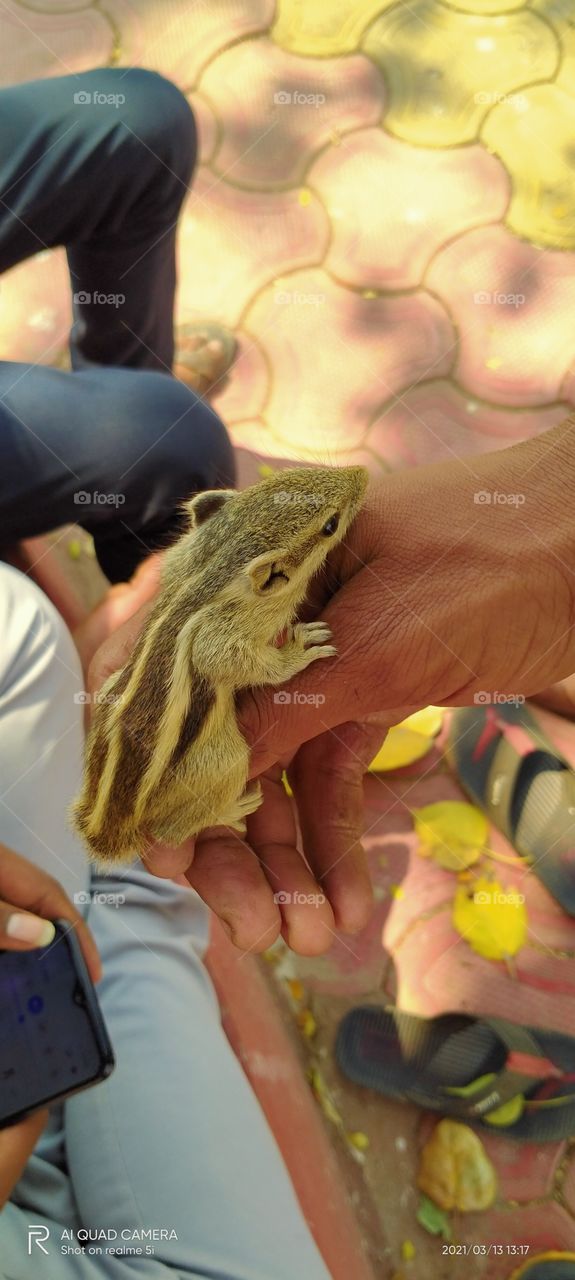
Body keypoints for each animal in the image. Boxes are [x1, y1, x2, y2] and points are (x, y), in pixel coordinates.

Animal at [71, 464, 368, 867]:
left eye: (292, 473)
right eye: (330, 525)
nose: (363, 473)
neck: (217, 565)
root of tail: (109, 823)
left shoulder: (180, 560)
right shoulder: (220, 632)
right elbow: (227, 657)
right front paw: (297, 650)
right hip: (225, 761)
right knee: (168, 833)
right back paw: (230, 811)